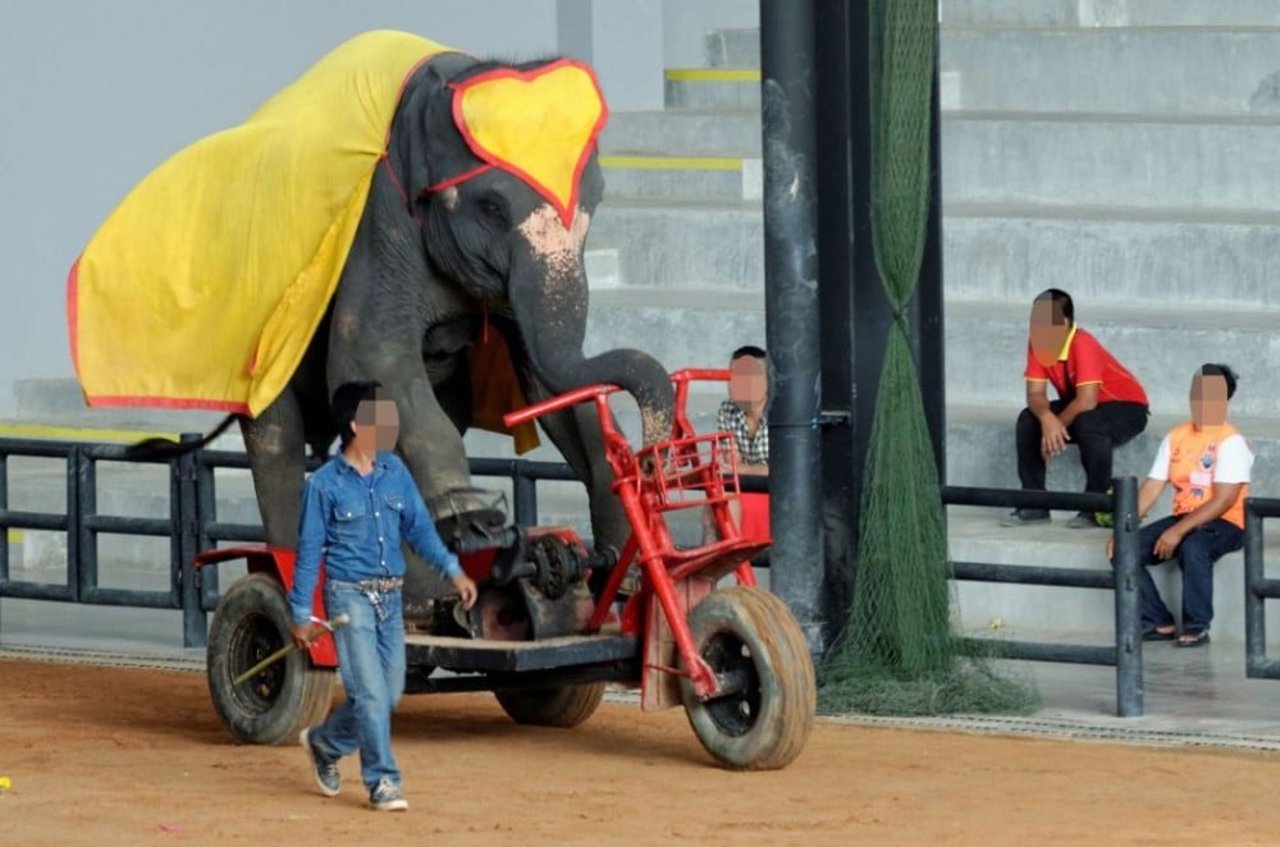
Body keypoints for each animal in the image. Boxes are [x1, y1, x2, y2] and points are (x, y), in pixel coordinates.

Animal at [70, 29, 675, 614]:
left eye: (597, 200)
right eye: (492, 206)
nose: (658, 452)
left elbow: (549, 384)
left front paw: (618, 566)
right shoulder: (379, 218)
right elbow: (372, 356)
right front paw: (479, 528)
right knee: (276, 439)